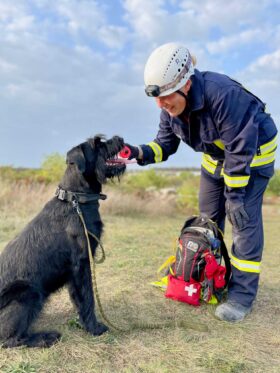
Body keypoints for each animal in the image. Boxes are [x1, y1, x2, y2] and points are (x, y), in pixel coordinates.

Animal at [0, 135, 126, 348]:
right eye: (97, 143)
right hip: (28, 292)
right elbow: (88, 297)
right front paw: (94, 328)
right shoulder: (81, 264)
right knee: (10, 339)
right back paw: (46, 337)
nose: (120, 138)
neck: (76, 199)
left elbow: (78, 298)